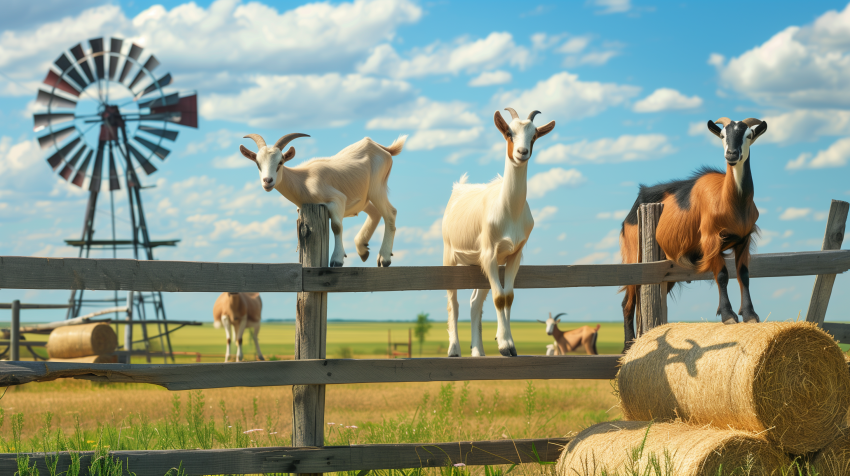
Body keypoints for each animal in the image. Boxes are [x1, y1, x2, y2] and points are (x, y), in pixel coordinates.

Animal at [240, 133, 406, 267]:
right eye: (258, 164)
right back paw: (363, 249)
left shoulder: (337, 200)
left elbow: (337, 227)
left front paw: (337, 259)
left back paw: (384, 258)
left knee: (390, 213)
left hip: (376, 187)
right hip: (363, 197)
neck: (302, 180)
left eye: (280, 162)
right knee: (375, 212)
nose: (267, 181)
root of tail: (381, 148)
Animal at [442, 108, 555, 357]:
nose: (522, 153)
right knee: (453, 301)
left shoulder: (514, 255)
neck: (509, 210)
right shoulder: (489, 253)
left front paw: (509, 343)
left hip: (478, 264)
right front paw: (504, 345)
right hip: (450, 254)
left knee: (475, 302)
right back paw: (454, 349)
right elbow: (499, 297)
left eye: (534, 136)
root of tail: (459, 188)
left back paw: (478, 351)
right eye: (509, 133)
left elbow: (508, 296)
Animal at [619, 117, 767, 351]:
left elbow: (744, 275)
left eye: (749, 135)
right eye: (723, 135)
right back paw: (628, 346)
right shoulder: (711, 239)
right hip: (634, 256)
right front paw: (728, 316)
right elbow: (722, 276)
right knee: (628, 301)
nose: (731, 154)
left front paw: (750, 315)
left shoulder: (743, 239)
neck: (729, 200)